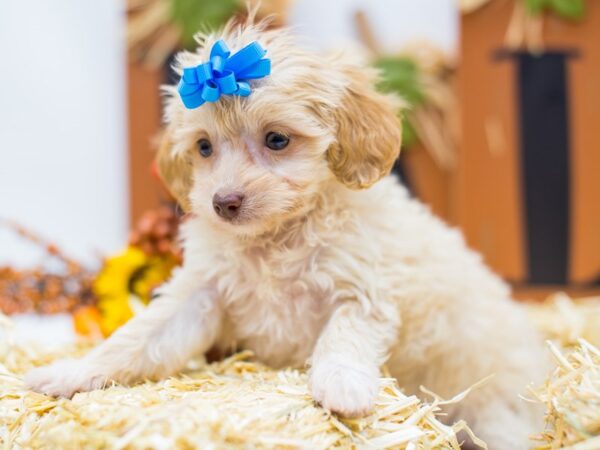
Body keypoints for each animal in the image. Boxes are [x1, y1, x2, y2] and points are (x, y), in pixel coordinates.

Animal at [25, 15, 548, 448]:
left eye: (277, 139)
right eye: (204, 147)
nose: (223, 202)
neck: (276, 236)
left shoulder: (362, 290)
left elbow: (343, 337)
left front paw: (341, 387)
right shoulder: (201, 292)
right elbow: (140, 337)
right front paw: (73, 372)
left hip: (497, 414)